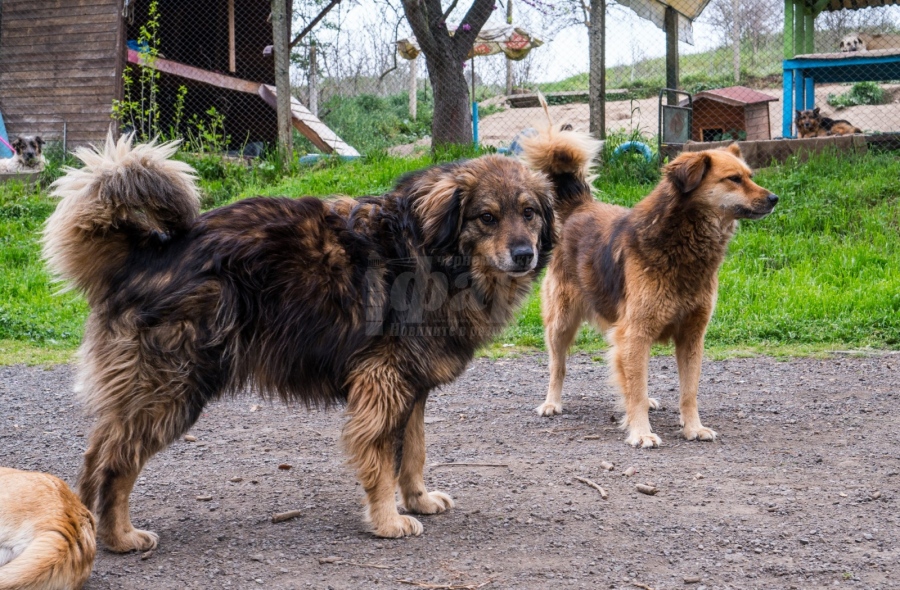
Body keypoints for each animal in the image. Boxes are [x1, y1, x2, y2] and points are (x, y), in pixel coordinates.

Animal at [42, 132, 596, 552]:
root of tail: (144, 253)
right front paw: (388, 519)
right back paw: (119, 537)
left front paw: (417, 499)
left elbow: (413, 451)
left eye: (530, 212)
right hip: (172, 390)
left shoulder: (412, 388)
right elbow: (381, 457)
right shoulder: (382, 382)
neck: (432, 254)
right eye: (487, 216)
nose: (524, 254)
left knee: (97, 457)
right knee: (113, 464)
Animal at [532, 142, 776, 448]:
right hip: (562, 322)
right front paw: (641, 431)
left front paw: (693, 427)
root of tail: (581, 205)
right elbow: (635, 388)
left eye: (750, 176)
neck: (683, 242)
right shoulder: (635, 332)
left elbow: (688, 390)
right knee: (558, 365)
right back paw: (551, 402)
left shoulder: (691, 336)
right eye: (734, 179)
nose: (774, 198)